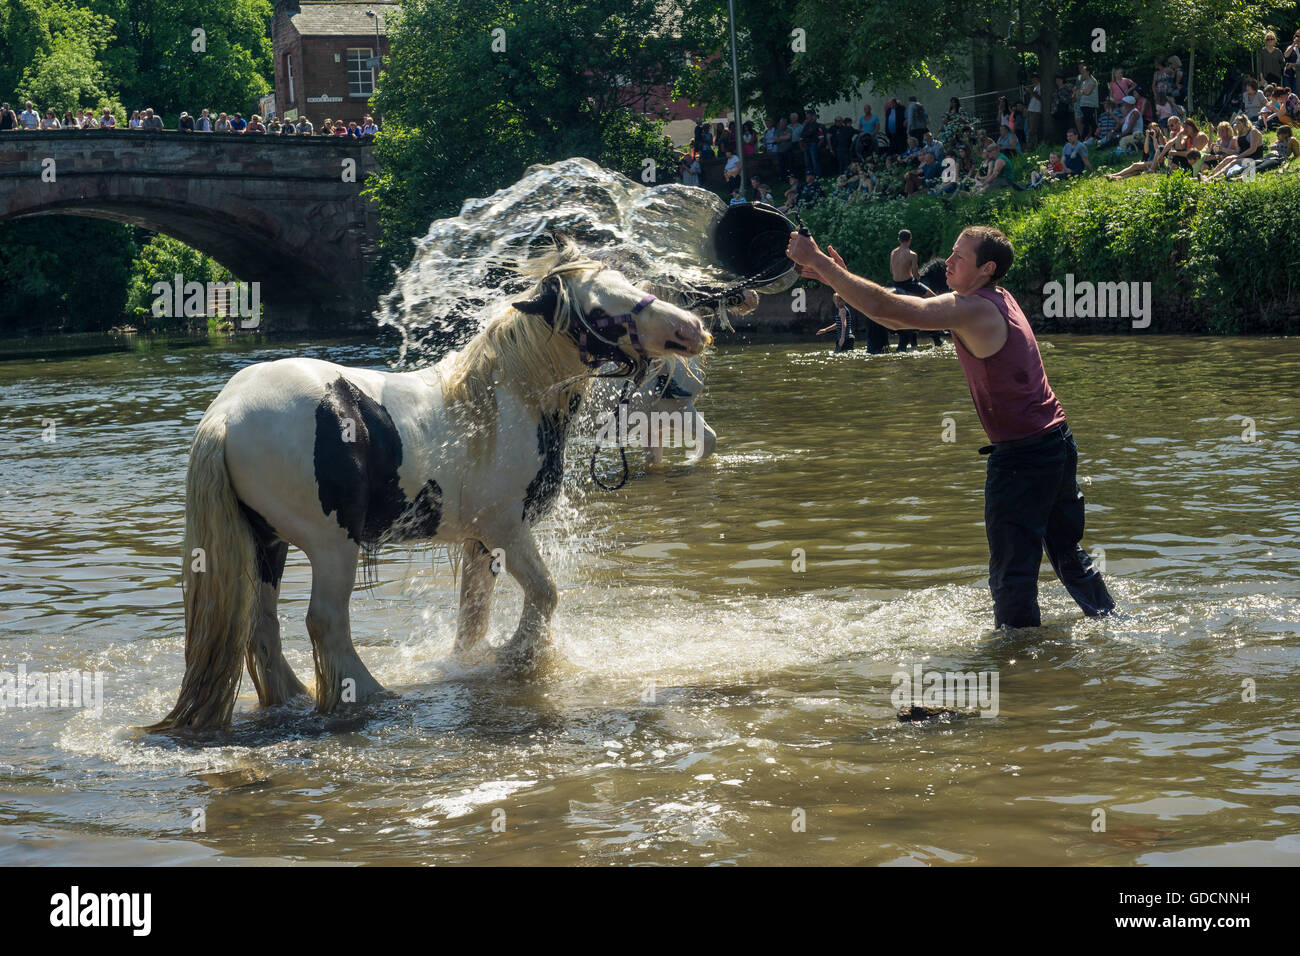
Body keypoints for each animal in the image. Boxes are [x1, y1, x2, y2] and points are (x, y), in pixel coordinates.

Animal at [149, 234, 712, 733]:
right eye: (597, 311)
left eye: (626, 281)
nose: (692, 328)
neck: (507, 398)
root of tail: (225, 414)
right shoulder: (506, 527)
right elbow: (544, 594)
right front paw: (520, 658)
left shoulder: (480, 539)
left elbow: (473, 616)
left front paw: (473, 664)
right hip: (331, 545)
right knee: (325, 621)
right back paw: (368, 695)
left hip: (267, 541)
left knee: (260, 625)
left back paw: (294, 698)